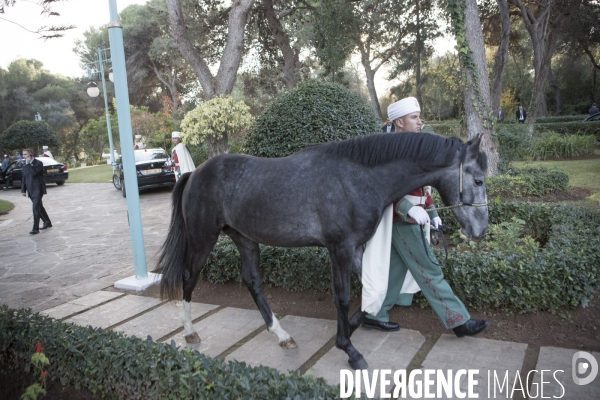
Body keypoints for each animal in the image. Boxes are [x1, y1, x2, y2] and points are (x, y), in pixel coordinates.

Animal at [158, 130, 488, 368]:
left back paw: (282, 335)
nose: (480, 229)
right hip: (202, 239)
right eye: (478, 179)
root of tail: (194, 174)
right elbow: (342, 297)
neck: (357, 179)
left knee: (252, 281)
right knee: (189, 277)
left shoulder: (356, 248)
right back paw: (189, 331)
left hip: (245, 239)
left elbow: (374, 291)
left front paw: (352, 329)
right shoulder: (339, 248)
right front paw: (349, 350)